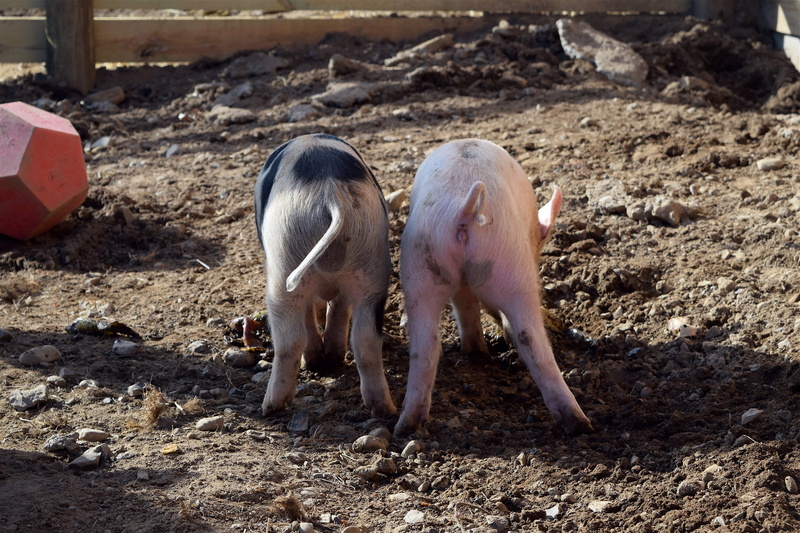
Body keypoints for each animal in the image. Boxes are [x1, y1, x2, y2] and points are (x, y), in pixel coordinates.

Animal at [253, 133, 396, 418]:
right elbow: (339, 307)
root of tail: (331, 196)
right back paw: (385, 409)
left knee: (290, 340)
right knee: (366, 340)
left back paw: (271, 406)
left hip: (285, 260)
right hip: (372, 264)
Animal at [395, 139, 593, 436]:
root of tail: (466, 211)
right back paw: (581, 424)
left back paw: (407, 425)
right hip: (511, 262)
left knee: (425, 345)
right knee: (530, 338)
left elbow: (465, 304)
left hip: (420, 263)